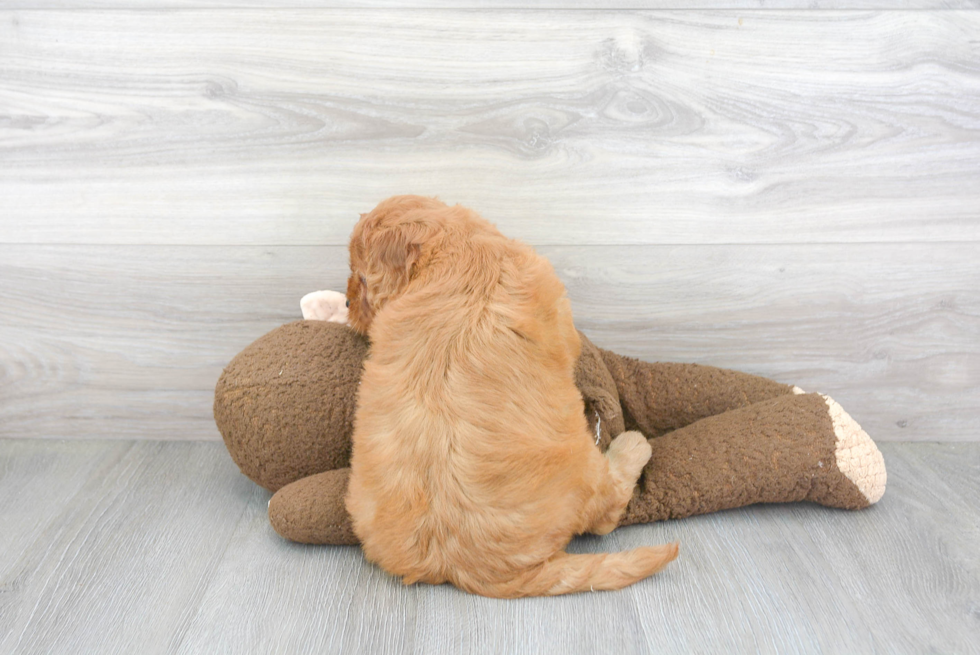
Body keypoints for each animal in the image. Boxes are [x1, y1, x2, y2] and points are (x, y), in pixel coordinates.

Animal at [342, 196, 672, 600]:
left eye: (360, 278)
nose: (346, 303)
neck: (459, 252)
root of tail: (472, 569)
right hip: (587, 477)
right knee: (607, 511)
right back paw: (634, 445)